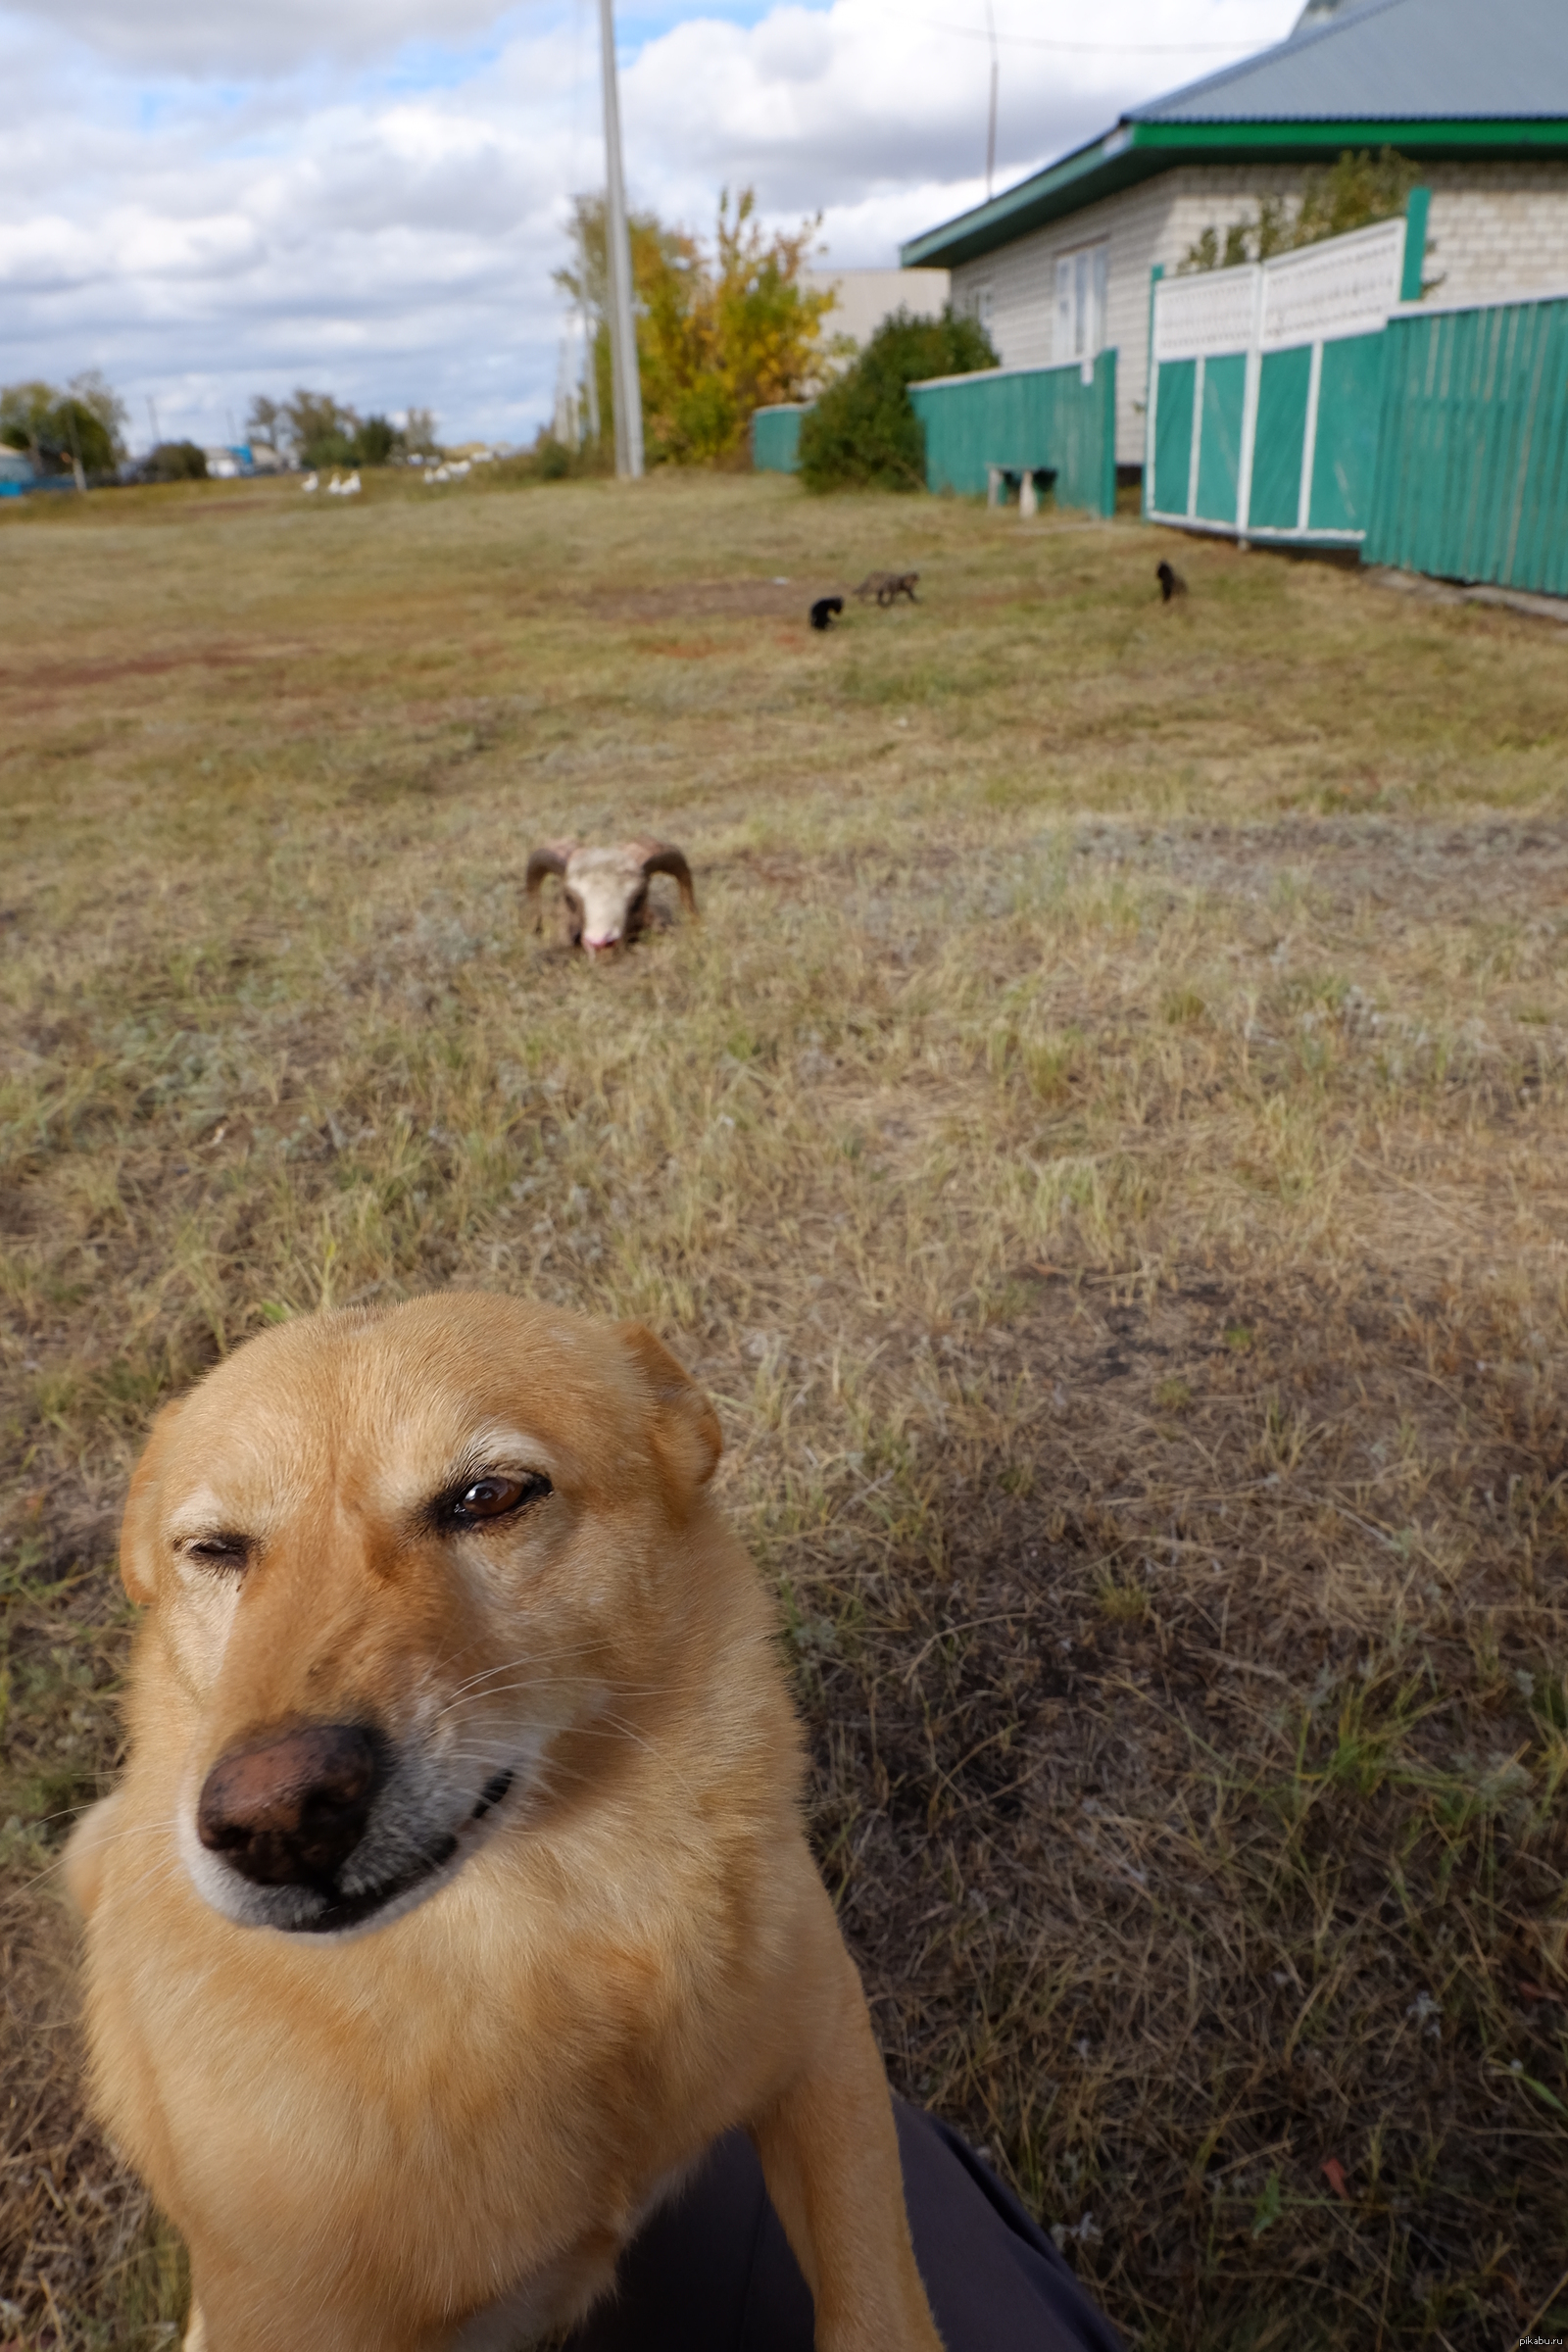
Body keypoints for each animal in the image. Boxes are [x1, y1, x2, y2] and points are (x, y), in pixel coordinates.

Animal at [67, 1298, 940, 2352]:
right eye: (215, 1550)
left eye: (487, 1497)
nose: (275, 1815)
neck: (530, 1944)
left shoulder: (825, 2049)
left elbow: (877, 2303)